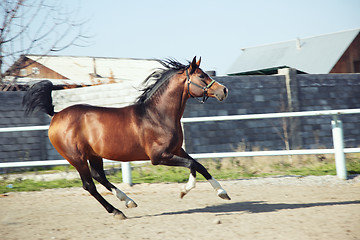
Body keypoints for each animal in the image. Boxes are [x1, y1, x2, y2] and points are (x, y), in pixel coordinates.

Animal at [23, 56, 231, 219]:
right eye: (202, 76)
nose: (224, 90)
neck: (157, 115)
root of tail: (56, 115)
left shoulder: (176, 150)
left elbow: (200, 165)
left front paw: (223, 193)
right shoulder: (159, 157)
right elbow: (192, 165)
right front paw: (184, 190)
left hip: (94, 155)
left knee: (99, 176)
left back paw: (128, 201)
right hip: (77, 158)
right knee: (89, 185)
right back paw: (117, 211)